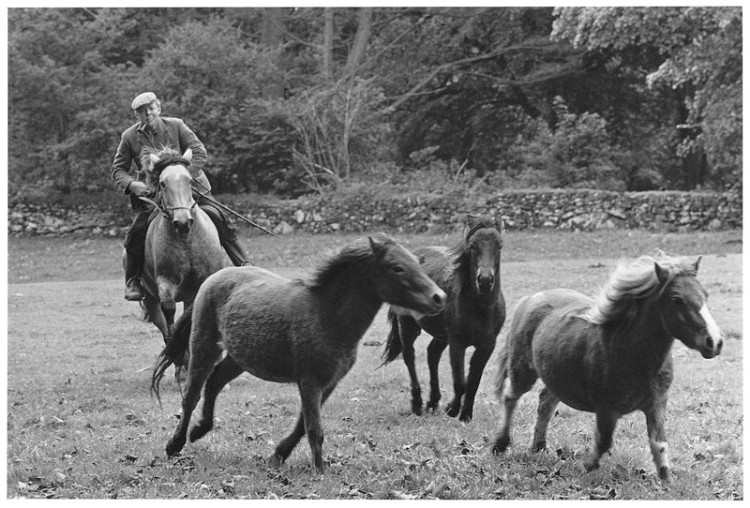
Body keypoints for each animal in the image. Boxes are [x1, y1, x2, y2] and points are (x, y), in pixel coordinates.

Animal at [133, 147, 224, 353]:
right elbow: (170, 313)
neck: (186, 241)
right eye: (163, 183)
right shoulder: (165, 282)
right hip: (151, 300)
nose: (183, 222)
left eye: (189, 181)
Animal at [151, 234, 446, 472]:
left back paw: (200, 430)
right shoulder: (310, 380)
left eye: (416, 262)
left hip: (240, 357)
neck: (326, 315)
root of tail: (214, 277)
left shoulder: (329, 382)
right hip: (205, 344)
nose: (439, 298)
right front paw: (319, 472)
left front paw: (278, 455)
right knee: (192, 394)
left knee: (214, 382)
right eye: (397, 268)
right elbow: (314, 428)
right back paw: (175, 444)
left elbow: (302, 424)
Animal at [382, 215, 506, 422]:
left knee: (432, 354)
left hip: (440, 335)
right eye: (472, 246)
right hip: (408, 326)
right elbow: (461, 382)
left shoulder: (486, 346)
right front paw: (453, 409)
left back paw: (433, 403)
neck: (480, 309)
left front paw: (466, 415)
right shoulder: (457, 343)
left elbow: (473, 382)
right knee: (409, 356)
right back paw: (417, 404)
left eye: (499, 246)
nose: (485, 280)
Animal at [491, 251, 724, 482]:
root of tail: (531, 298)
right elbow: (604, 442)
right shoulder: (607, 409)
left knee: (546, 402)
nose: (715, 342)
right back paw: (500, 445)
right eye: (676, 299)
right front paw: (588, 468)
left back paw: (539, 447)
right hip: (523, 370)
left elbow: (659, 444)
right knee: (511, 397)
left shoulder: (657, 404)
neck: (633, 355)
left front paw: (665, 478)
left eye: (705, 295)